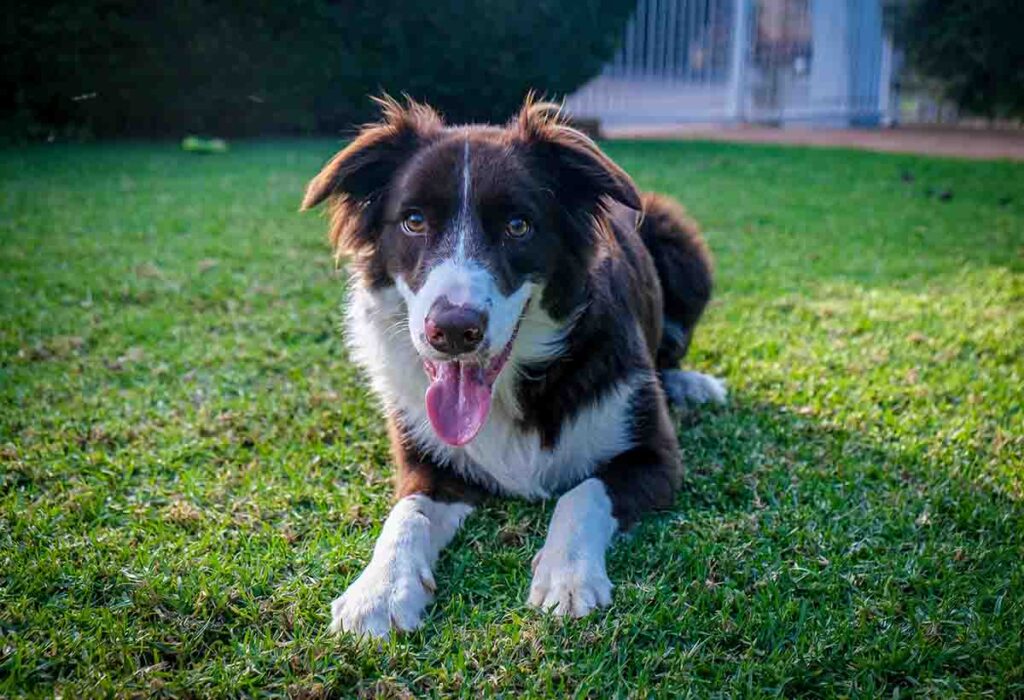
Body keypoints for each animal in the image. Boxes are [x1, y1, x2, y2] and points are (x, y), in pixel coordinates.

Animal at [299, 95, 724, 638]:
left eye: (518, 226)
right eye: (413, 221)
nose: (453, 330)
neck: (514, 385)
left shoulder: (657, 458)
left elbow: (583, 491)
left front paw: (567, 574)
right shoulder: (426, 462)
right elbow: (406, 514)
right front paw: (379, 589)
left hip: (679, 239)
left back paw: (691, 383)